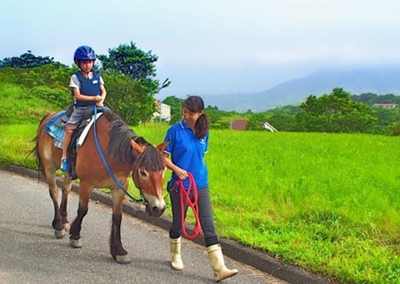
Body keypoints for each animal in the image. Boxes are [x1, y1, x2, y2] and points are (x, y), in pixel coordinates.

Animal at [31, 110, 167, 262]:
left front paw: (119, 250)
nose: (159, 208)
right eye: (143, 172)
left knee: (66, 189)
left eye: (164, 170)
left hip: (68, 172)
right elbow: (83, 210)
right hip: (49, 165)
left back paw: (64, 220)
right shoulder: (86, 184)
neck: (109, 153)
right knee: (54, 191)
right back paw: (59, 225)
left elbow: (117, 217)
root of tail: (49, 115)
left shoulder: (119, 188)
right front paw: (75, 236)